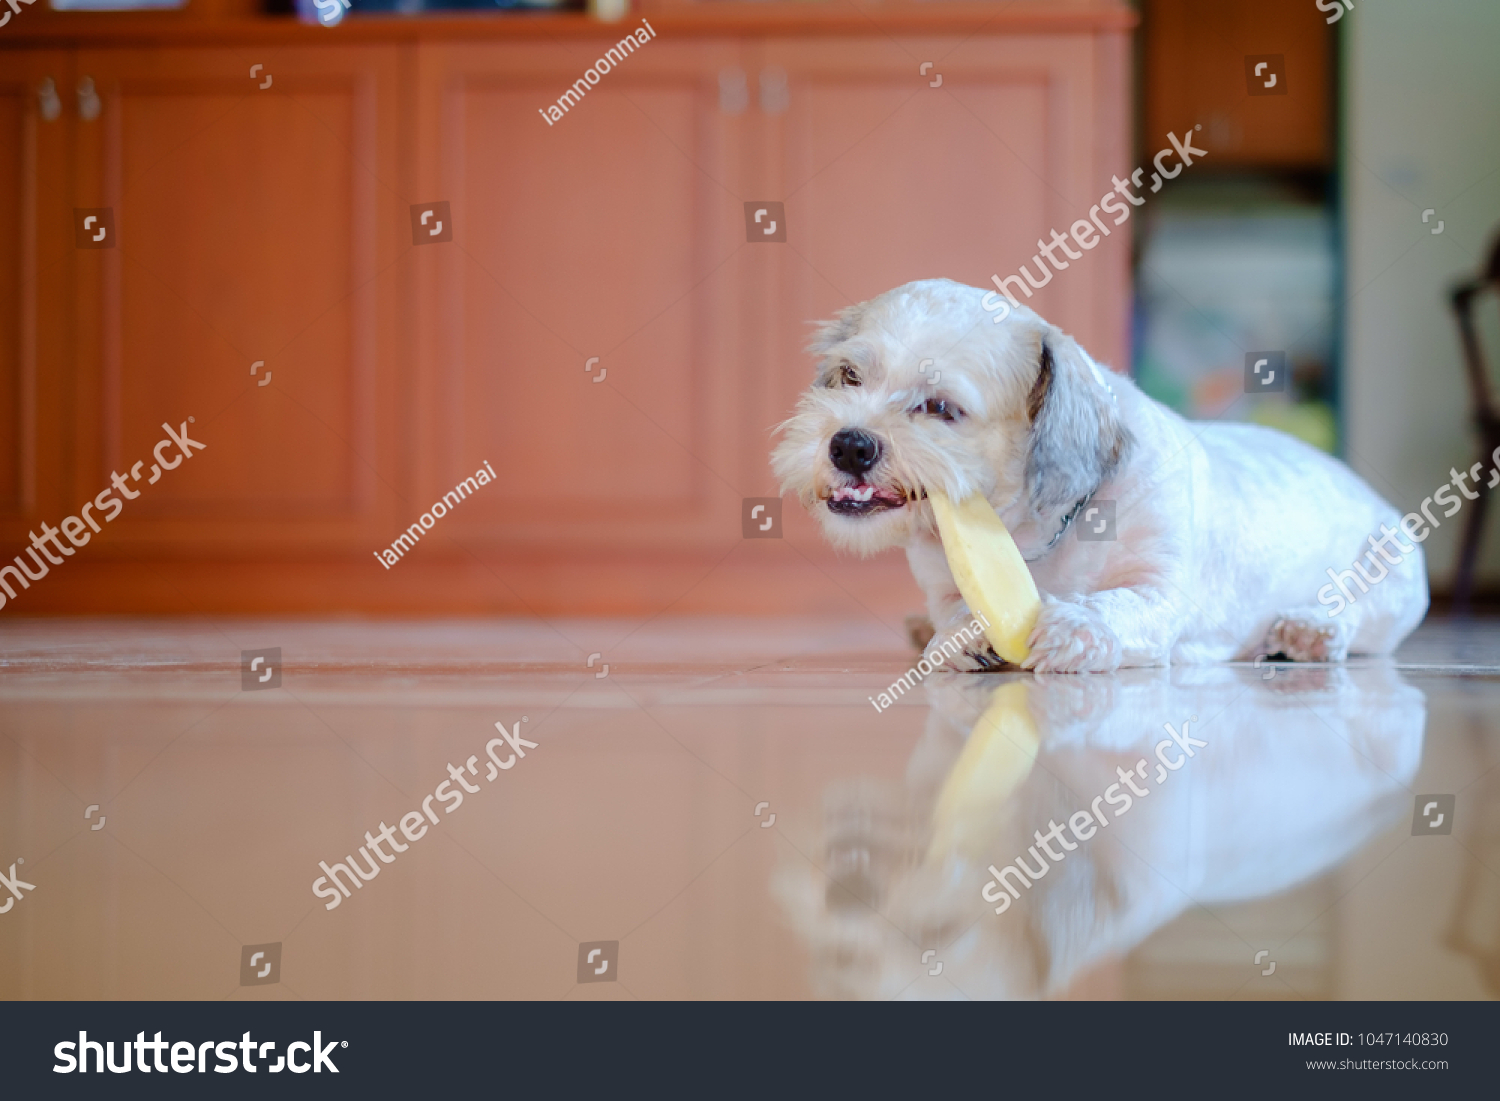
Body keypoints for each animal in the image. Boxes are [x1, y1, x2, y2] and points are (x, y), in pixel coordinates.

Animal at [774, 277, 1428, 672]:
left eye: (940, 408)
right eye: (849, 376)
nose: (848, 444)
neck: (1037, 537)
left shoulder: (1160, 592)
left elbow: (1118, 606)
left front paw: (1075, 625)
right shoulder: (945, 585)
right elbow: (956, 614)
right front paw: (954, 638)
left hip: (1390, 585)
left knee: (1357, 619)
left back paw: (1308, 630)